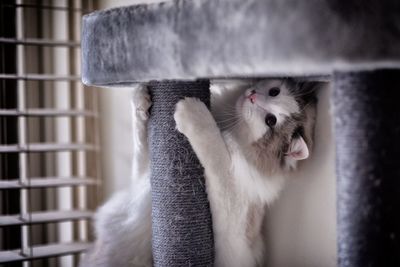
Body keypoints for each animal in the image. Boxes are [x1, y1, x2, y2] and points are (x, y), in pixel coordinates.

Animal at [79, 79, 318, 267]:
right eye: (274, 91)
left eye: (271, 121)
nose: (251, 96)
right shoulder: (142, 174)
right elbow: (140, 139)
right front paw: (141, 97)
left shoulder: (232, 223)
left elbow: (215, 148)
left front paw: (191, 112)